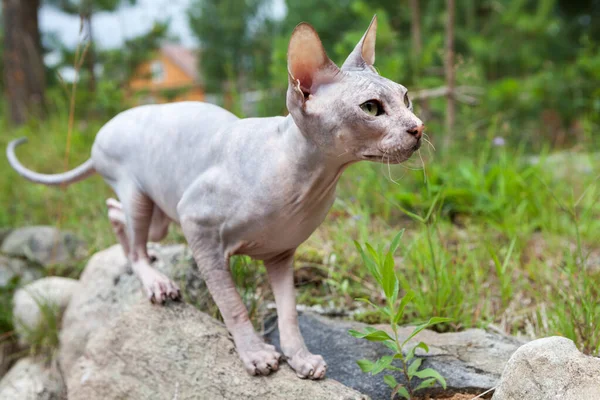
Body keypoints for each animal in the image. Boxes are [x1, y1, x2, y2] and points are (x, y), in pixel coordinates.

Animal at [7, 15, 424, 378]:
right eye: (371, 108)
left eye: (406, 98)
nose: (418, 127)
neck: (307, 182)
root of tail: (103, 130)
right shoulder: (197, 224)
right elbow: (231, 302)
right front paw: (256, 355)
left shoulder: (281, 254)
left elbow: (289, 313)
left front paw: (301, 359)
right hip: (143, 195)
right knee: (133, 235)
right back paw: (155, 281)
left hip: (160, 209)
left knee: (116, 215)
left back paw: (135, 254)